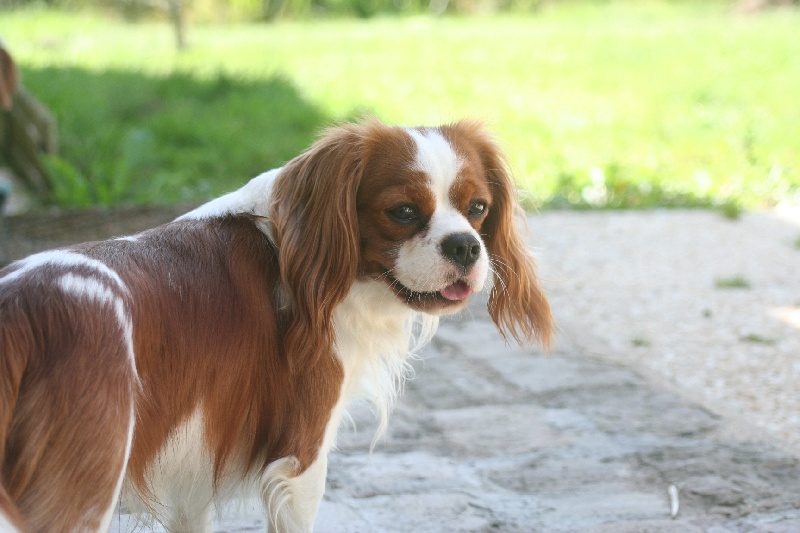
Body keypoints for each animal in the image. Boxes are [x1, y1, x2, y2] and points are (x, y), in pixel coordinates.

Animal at [0, 120, 552, 532]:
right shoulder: (301, 454)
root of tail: (18, 309)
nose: (465, 246)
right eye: (403, 212)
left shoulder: (192, 461)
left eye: (478, 209)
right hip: (86, 482)